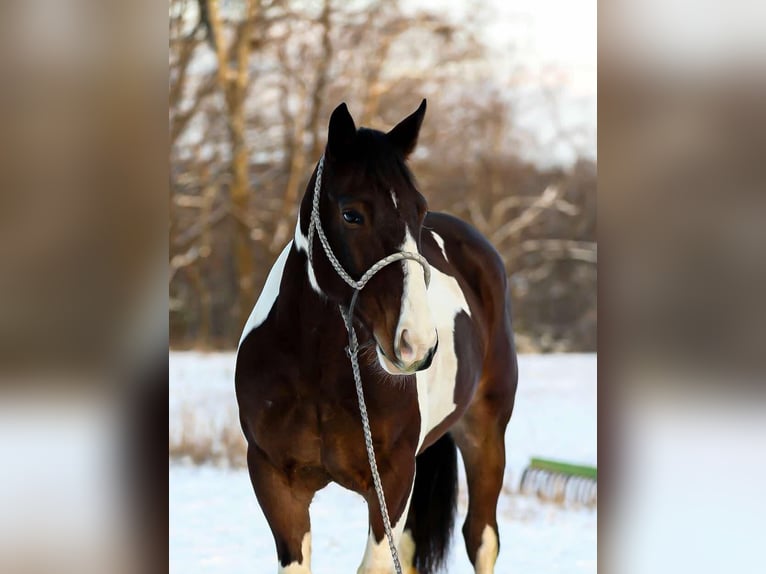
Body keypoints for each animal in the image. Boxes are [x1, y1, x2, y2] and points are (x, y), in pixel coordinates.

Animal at [235, 99, 518, 574]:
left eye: (419, 210)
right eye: (352, 214)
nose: (416, 344)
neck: (317, 369)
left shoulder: (392, 478)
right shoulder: (276, 483)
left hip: (486, 432)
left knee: (482, 538)